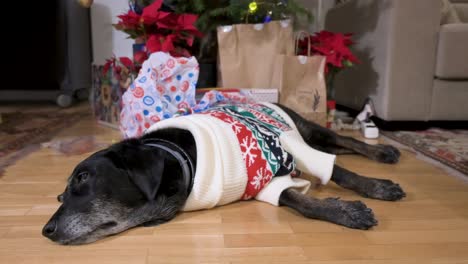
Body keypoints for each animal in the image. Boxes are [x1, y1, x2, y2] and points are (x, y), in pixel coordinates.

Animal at [42, 104, 404, 244]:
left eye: (83, 178)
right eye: (59, 195)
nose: (46, 230)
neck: (182, 159)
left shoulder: (288, 146)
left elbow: (339, 174)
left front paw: (369, 194)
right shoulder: (265, 183)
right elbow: (299, 201)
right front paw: (343, 209)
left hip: (302, 131)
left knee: (342, 144)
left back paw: (383, 152)